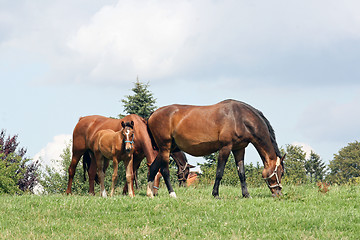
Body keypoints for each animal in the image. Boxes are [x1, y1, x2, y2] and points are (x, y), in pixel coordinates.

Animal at [148, 99, 286, 199]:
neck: (239, 117)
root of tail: (153, 114)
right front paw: (215, 194)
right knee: (164, 171)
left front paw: (246, 195)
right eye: (280, 172)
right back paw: (172, 194)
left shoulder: (239, 149)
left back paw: (150, 193)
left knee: (153, 167)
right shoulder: (225, 148)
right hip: (165, 148)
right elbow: (219, 172)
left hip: (166, 149)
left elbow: (241, 173)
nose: (278, 193)